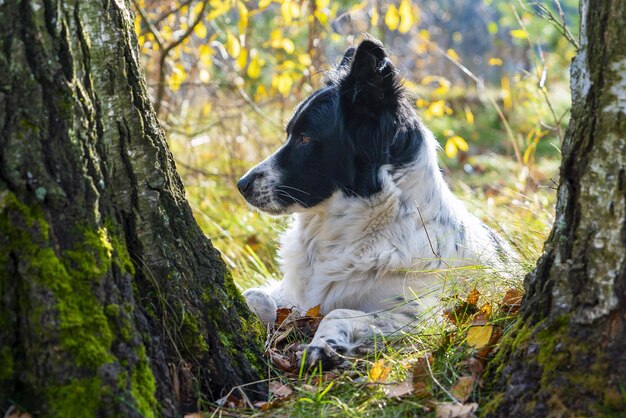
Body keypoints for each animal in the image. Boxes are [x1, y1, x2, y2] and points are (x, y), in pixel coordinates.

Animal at [234, 37, 512, 368]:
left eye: (305, 139)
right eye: (290, 134)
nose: (241, 185)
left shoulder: (422, 313)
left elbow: (338, 312)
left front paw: (324, 346)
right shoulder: (291, 295)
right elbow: (254, 295)